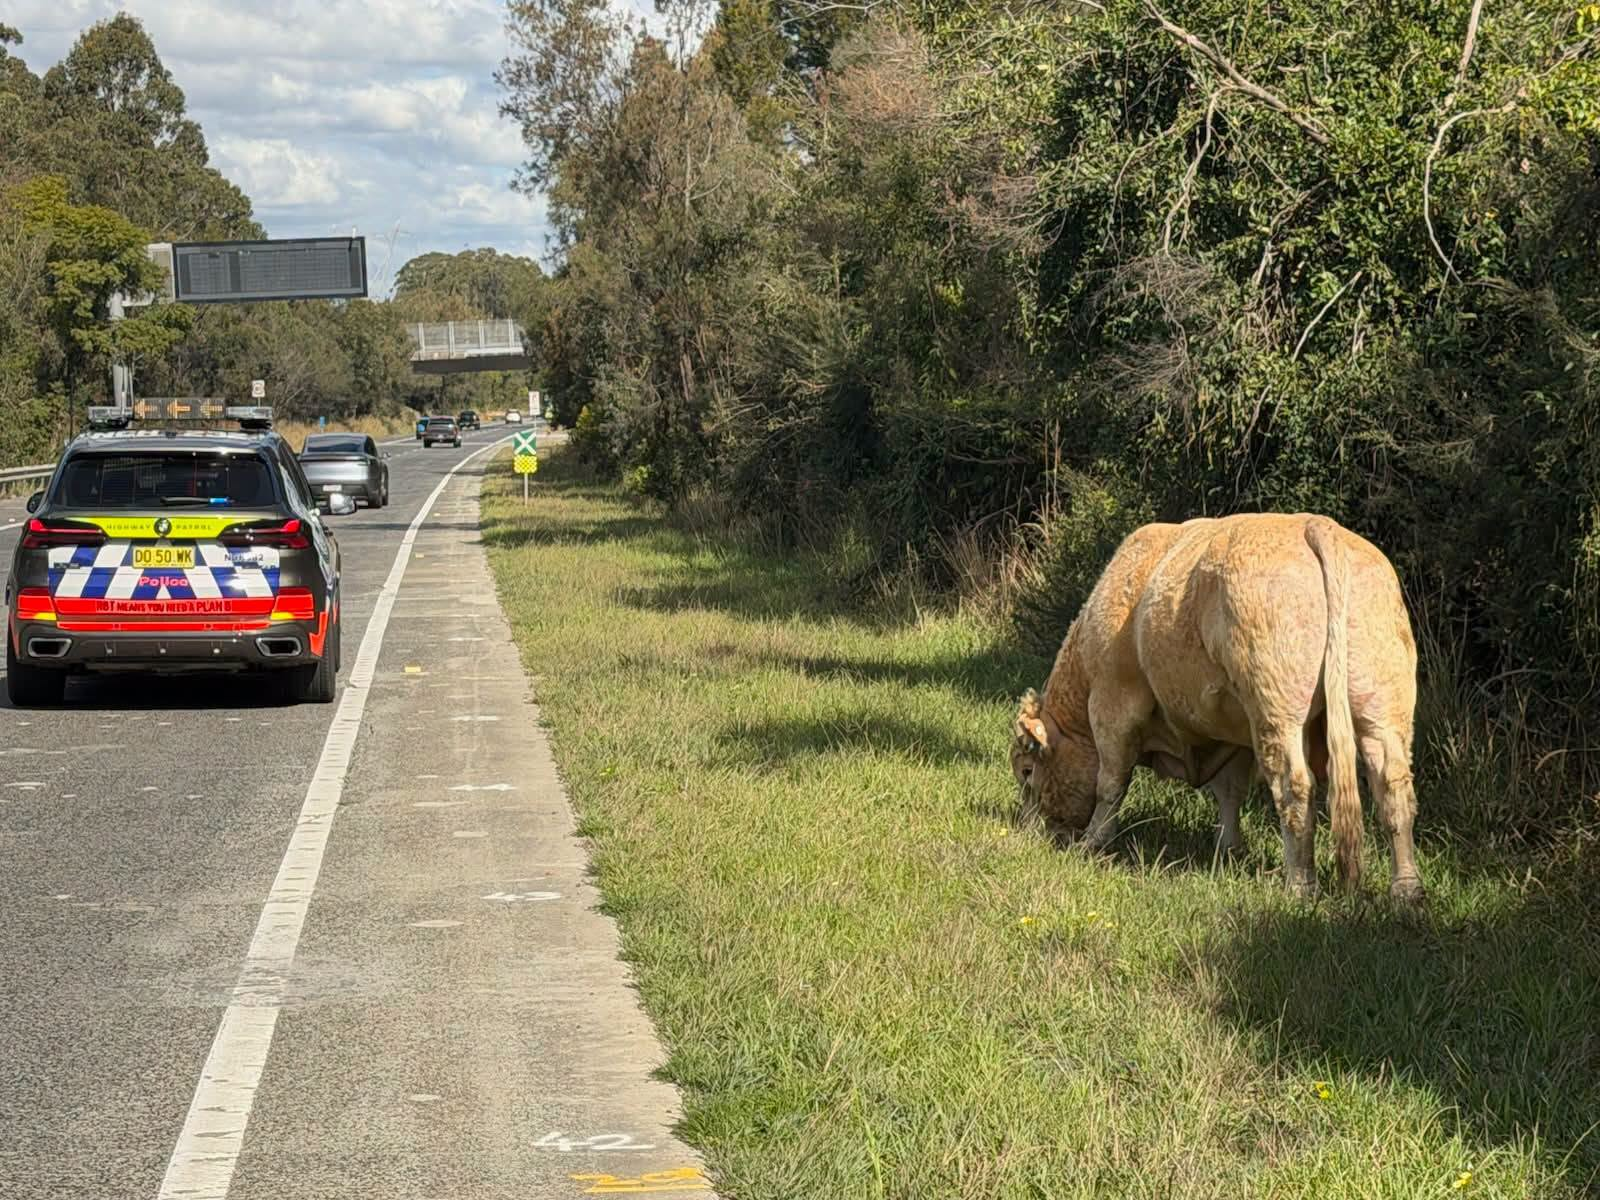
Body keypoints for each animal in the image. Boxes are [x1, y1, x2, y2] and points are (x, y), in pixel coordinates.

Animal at [1010, 512, 1423, 902]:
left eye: (1027, 771)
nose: (1028, 830)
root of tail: (1317, 525)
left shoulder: (1113, 704)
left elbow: (1109, 783)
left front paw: (1093, 842)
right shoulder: (1232, 732)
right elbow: (1230, 791)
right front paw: (1228, 852)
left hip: (1278, 711)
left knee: (1294, 786)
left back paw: (1300, 886)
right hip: (1382, 707)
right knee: (1393, 785)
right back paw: (1406, 890)